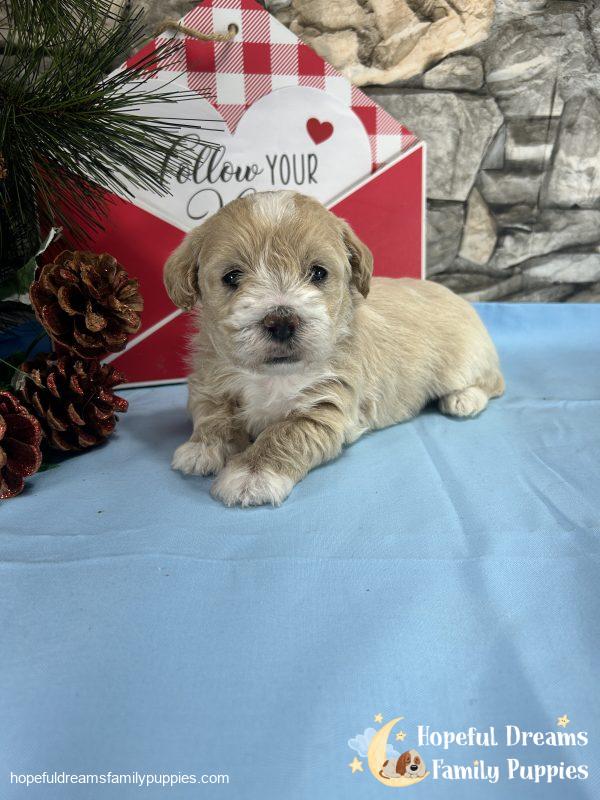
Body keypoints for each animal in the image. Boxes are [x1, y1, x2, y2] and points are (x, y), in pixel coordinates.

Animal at [163, 189, 502, 506]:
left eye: (318, 273)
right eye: (231, 276)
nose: (281, 321)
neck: (275, 375)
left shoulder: (326, 406)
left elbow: (283, 434)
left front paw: (252, 475)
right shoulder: (209, 380)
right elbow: (212, 413)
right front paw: (202, 448)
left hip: (463, 362)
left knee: (494, 382)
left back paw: (464, 399)